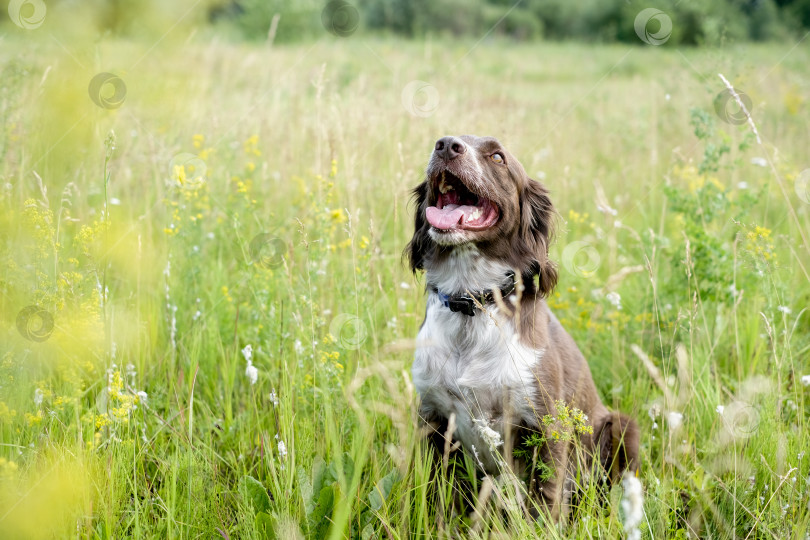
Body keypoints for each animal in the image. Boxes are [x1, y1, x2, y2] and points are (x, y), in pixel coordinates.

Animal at [404, 135, 636, 520]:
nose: (446, 145)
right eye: (443, 141)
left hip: (623, 427)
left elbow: (545, 503)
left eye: (498, 157)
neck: (474, 305)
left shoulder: (545, 424)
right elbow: (437, 500)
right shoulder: (433, 419)